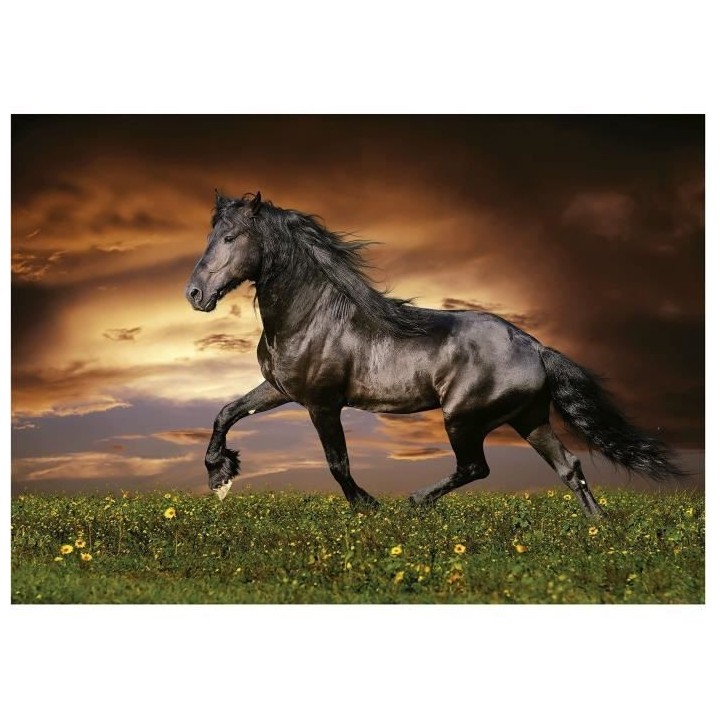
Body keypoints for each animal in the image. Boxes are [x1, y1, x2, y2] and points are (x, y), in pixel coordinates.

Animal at [185, 191, 683, 516]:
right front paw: (219, 474)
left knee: (476, 467)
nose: (194, 294)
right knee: (569, 466)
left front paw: (368, 506)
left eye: (230, 238)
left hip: (463, 418)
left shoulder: (322, 403)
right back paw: (597, 529)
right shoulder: (280, 389)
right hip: (529, 418)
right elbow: (226, 412)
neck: (312, 317)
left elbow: (337, 463)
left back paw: (416, 501)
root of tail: (536, 347)